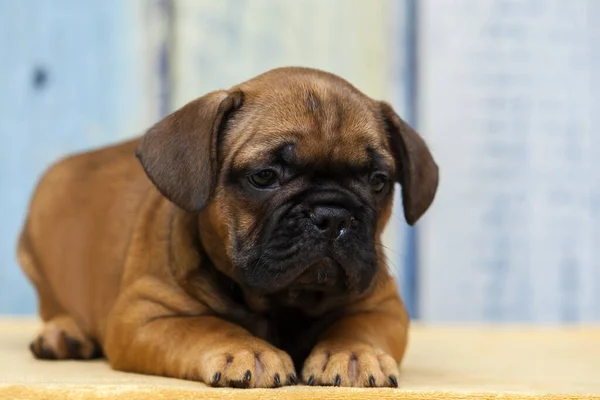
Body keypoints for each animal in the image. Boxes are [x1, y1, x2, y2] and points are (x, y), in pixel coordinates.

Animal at [16, 67, 438, 390]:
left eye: (378, 181)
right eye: (264, 176)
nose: (331, 215)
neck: (281, 301)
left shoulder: (383, 305)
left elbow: (357, 325)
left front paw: (354, 353)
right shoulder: (144, 316)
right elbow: (207, 326)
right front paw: (248, 349)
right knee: (53, 305)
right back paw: (63, 333)